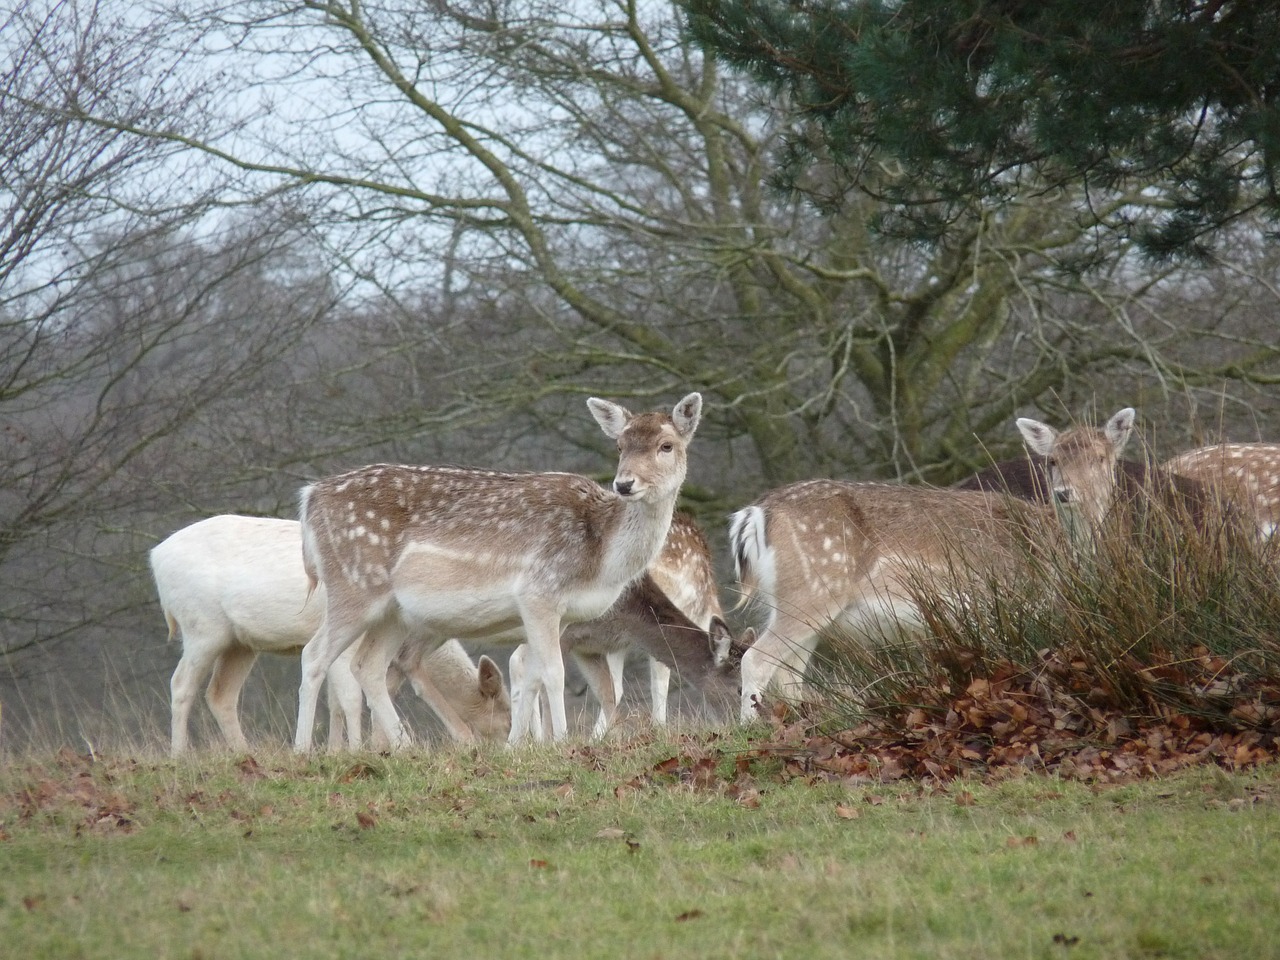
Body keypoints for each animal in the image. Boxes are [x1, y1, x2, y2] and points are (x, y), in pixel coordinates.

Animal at [294, 391, 706, 752]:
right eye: (620, 446)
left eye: (666, 445)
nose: (624, 483)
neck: (599, 557)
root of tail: (310, 499)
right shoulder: (539, 592)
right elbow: (553, 673)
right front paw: (559, 743)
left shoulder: (562, 616)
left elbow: (533, 674)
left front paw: (519, 746)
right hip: (353, 585)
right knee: (314, 654)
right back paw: (303, 750)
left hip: (394, 610)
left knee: (368, 665)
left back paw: (404, 747)